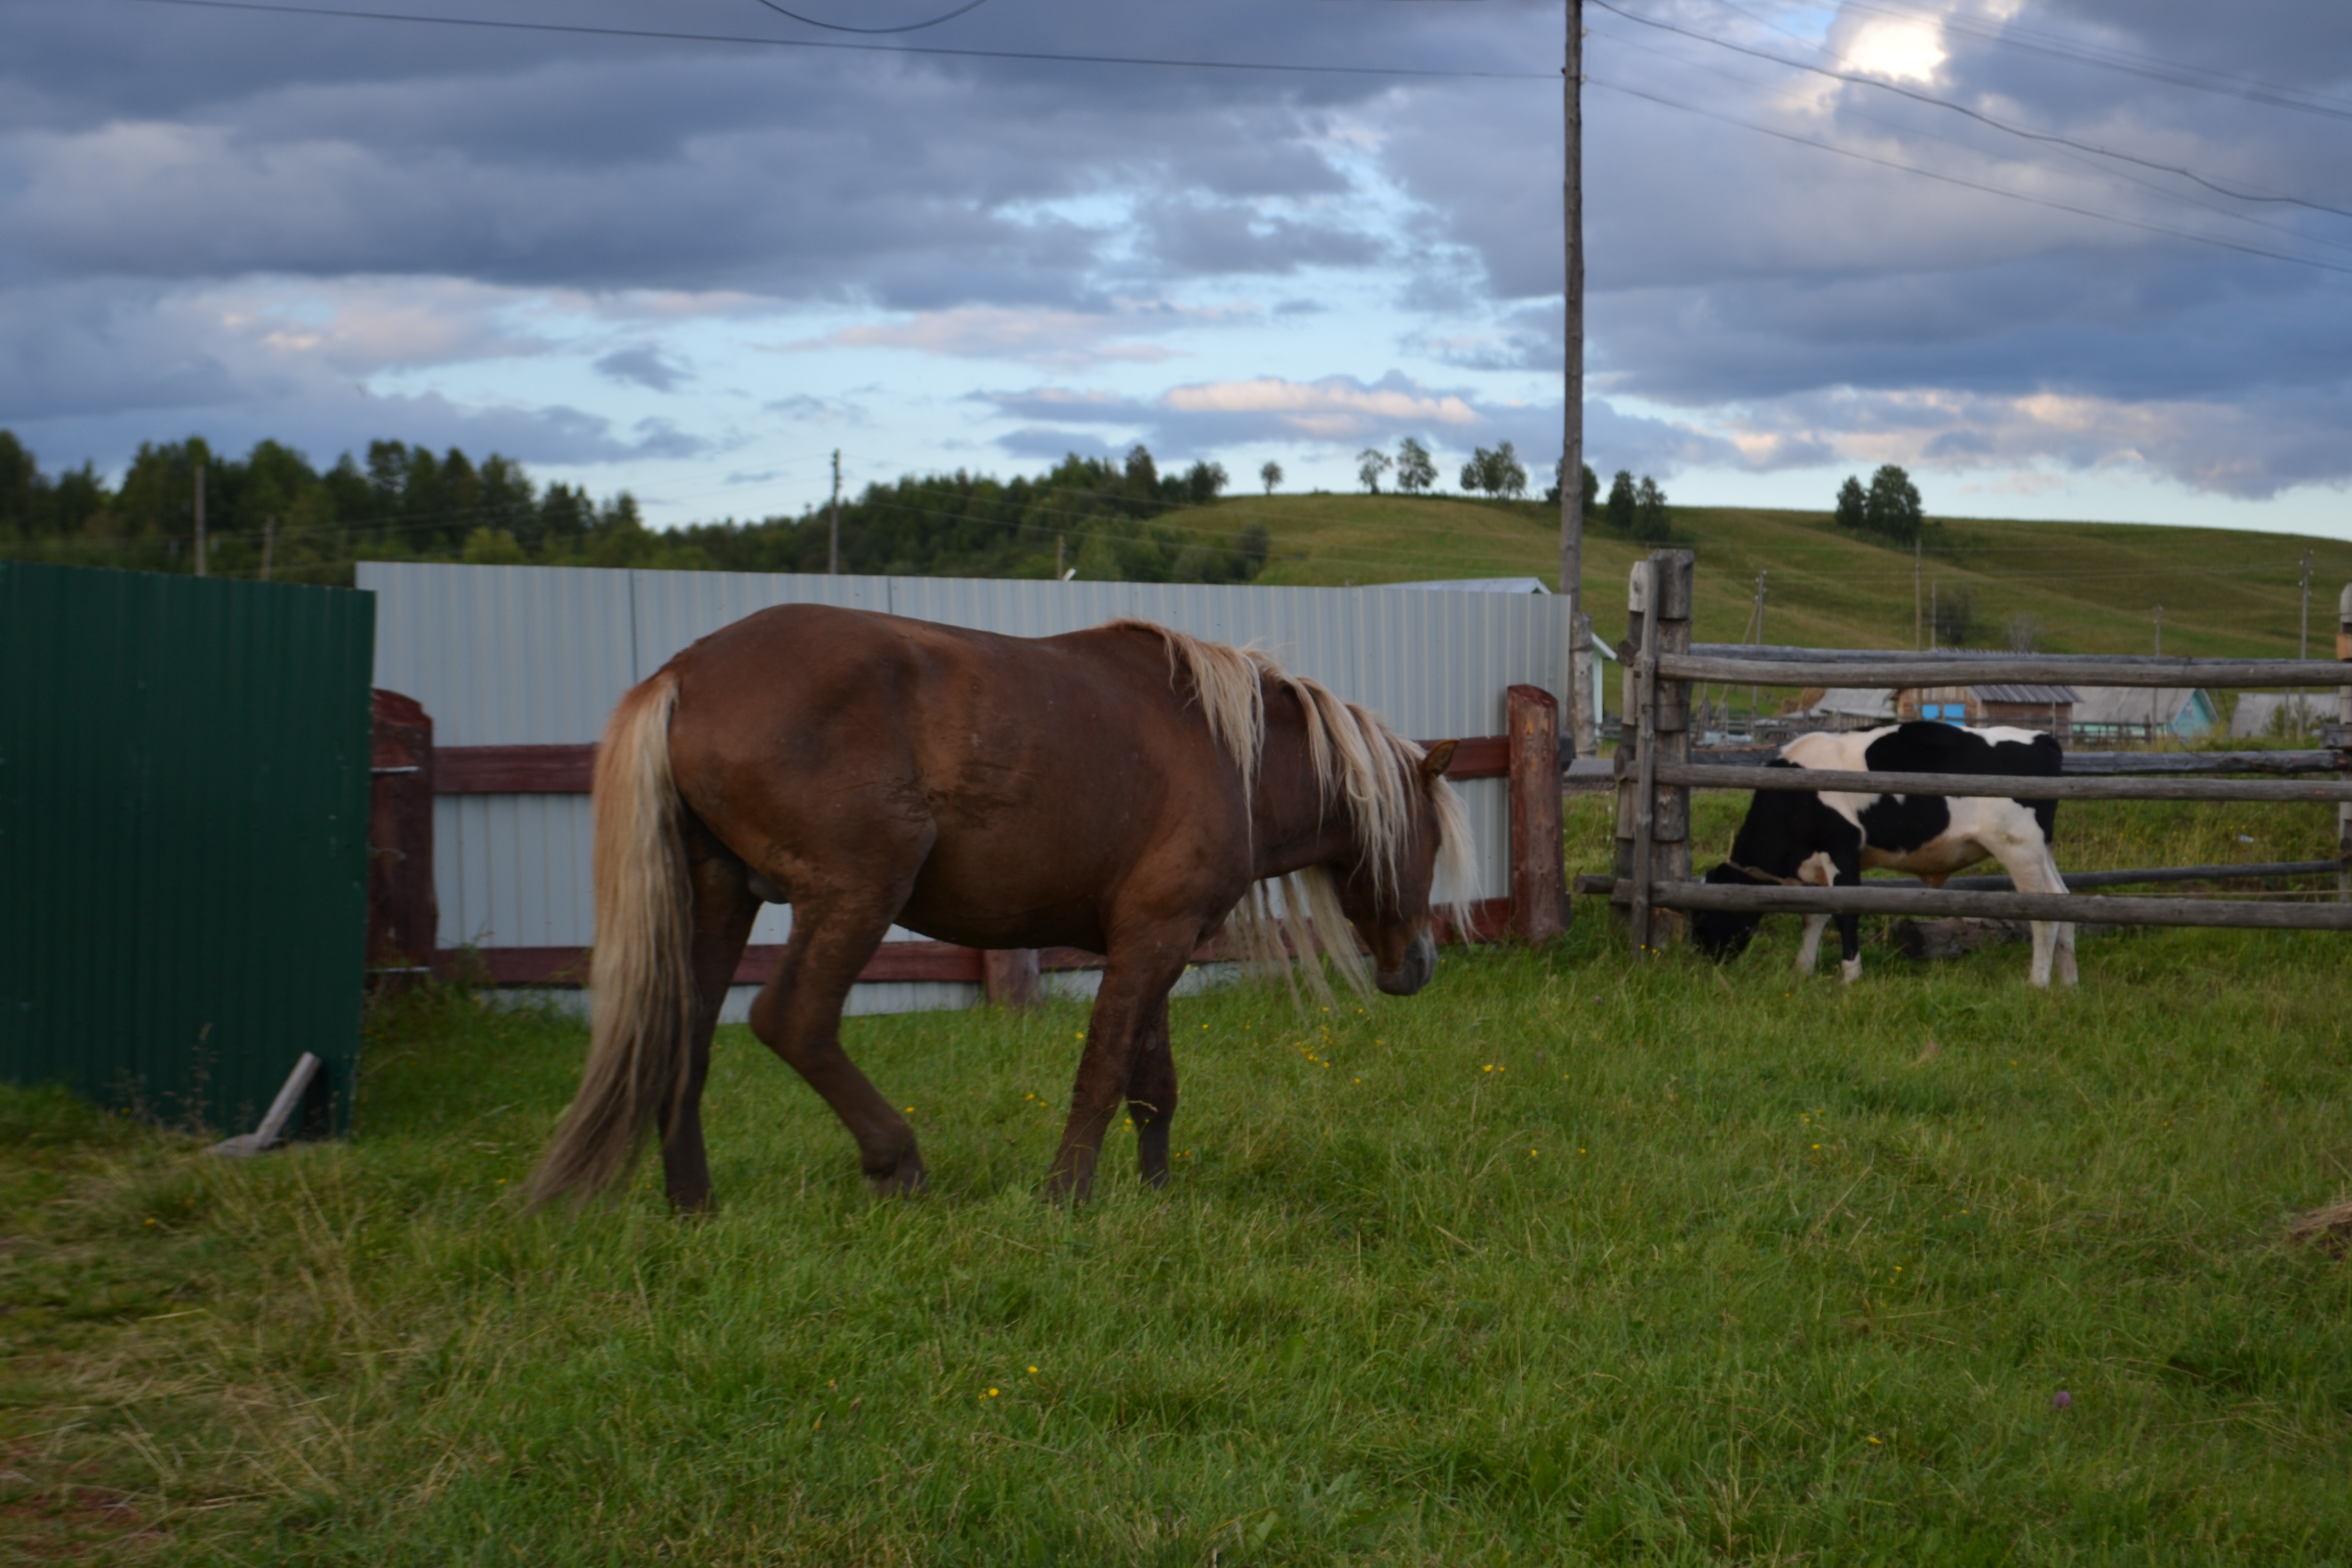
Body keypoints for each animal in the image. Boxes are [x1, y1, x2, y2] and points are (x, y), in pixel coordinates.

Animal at [534, 606, 1467, 1213]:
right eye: (1427, 836)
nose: (1418, 966)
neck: (1231, 754)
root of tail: (682, 674)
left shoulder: (1150, 941)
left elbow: (1151, 1085)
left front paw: (1157, 1197)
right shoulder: (1152, 941)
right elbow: (1102, 1071)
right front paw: (1066, 1197)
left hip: (721, 894)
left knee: (687, 1035)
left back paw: (693, 1200)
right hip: (856, 892)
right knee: (790, 1019)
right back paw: (896, 1163)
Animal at [1693, 719, 2079, 987]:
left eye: (1706, 914)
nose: (1700, 957)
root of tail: (2042, 738)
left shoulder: (1842, 850)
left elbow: (1845, 914)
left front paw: (1850, 978)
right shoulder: (1818, 866)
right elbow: (1813, 916)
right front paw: (1802, 970)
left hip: (2018, 845)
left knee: (2044, 910)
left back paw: (2037, 983)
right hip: (2040, 849)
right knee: (2063, 898)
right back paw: (2068, 983)